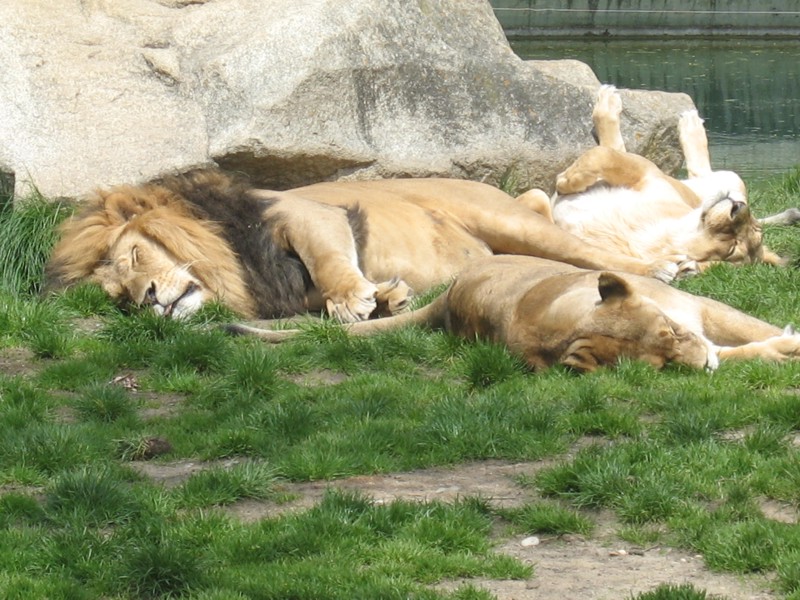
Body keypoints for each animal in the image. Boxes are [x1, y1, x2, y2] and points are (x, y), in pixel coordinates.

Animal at [517, 86, 796, 271]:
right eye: (752, 224)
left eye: (732, 248)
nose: (739, 207)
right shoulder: (649, 174)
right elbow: (603, 157)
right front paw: (565, 183)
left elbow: (604, 155)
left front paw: (563, 181)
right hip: (729, 179)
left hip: (727, 178)